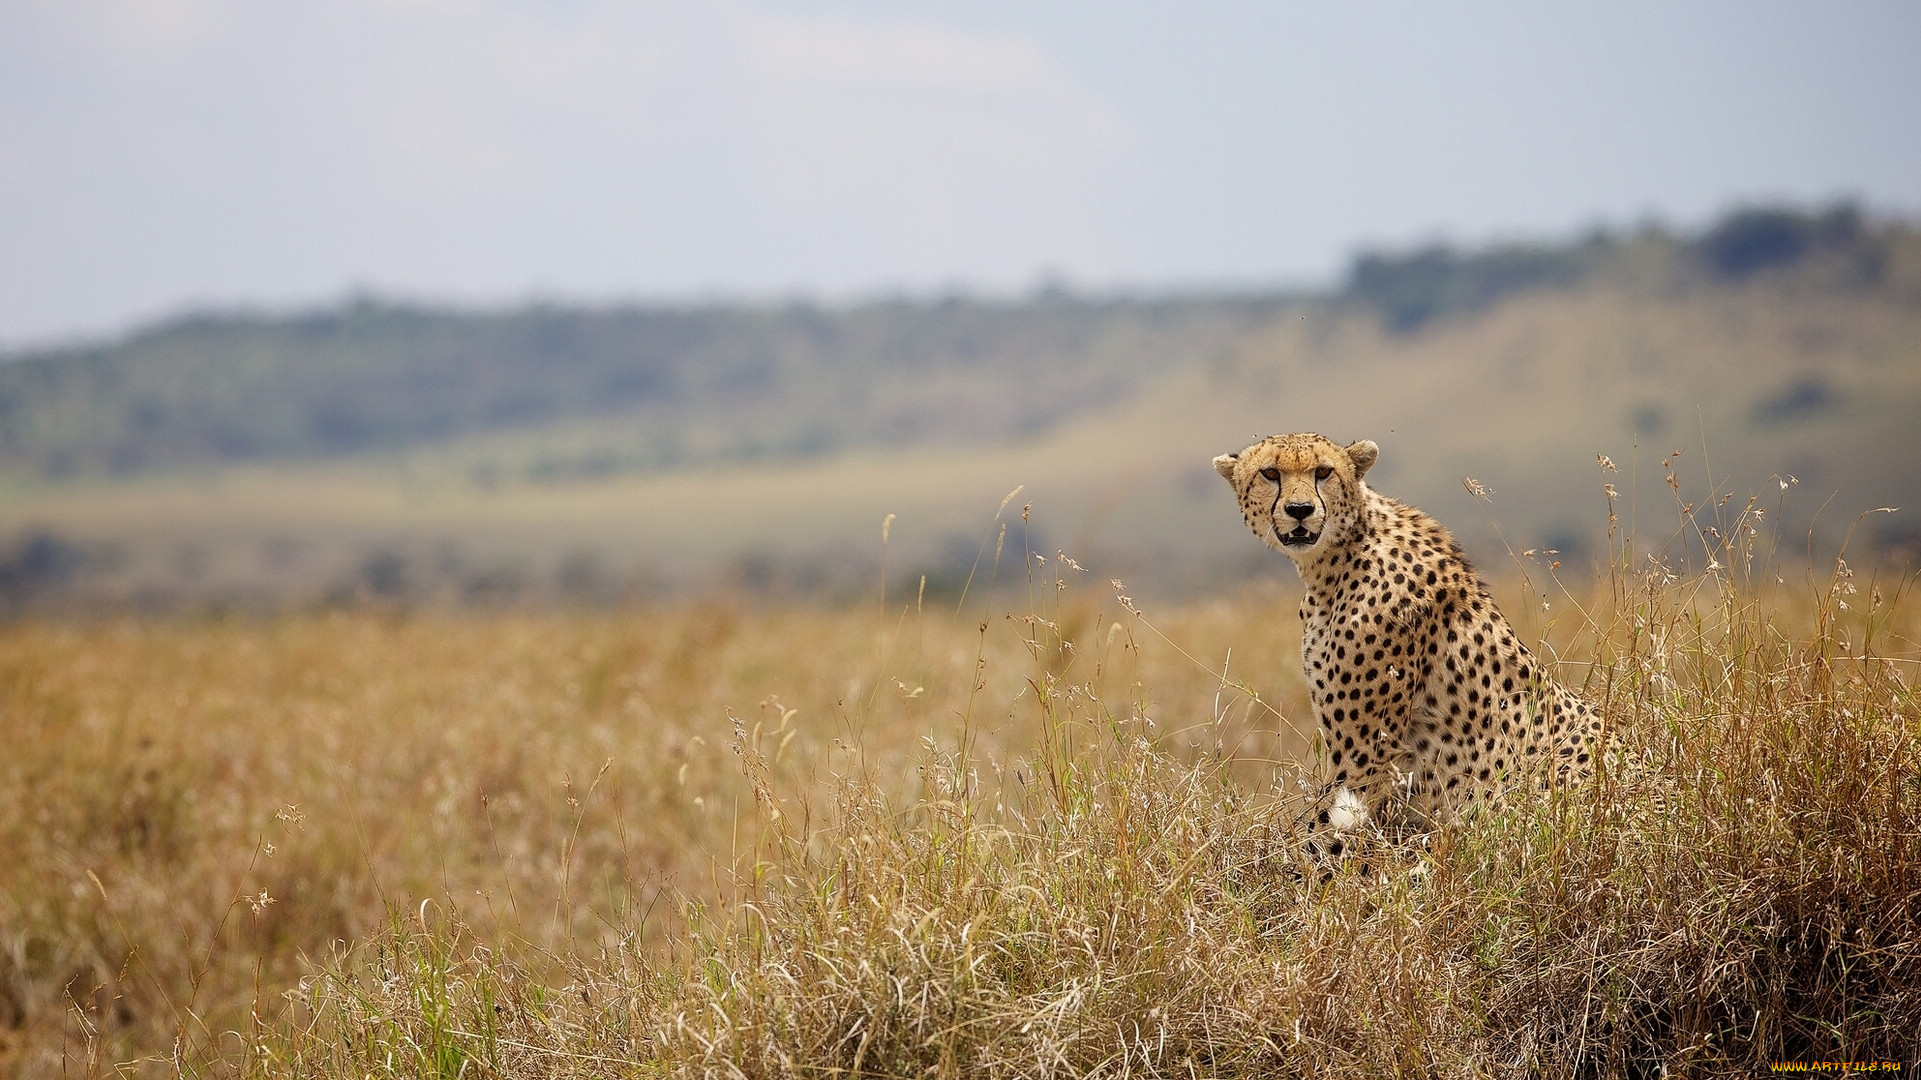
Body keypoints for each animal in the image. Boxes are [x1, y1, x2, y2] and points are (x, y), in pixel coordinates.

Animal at [1214, 428, 1605, 822]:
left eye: (1323, 472)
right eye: (1270, 473)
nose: (1300, 509)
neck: (1335, 561)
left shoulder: (1364, 754)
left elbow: (1320, 826)